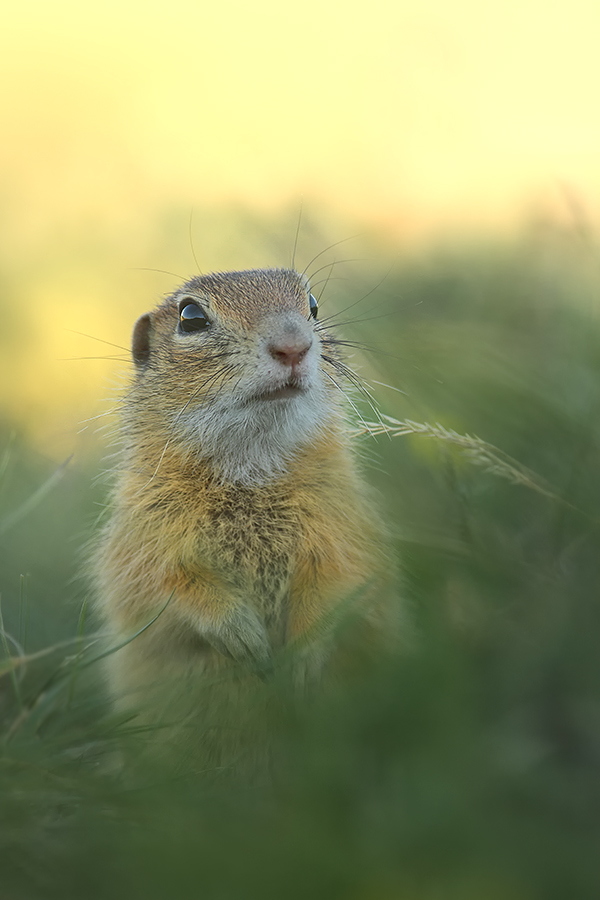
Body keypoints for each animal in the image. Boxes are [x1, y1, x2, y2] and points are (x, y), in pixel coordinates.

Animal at [94, 264, 398, 740]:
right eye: (190, 318)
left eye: (313, 305)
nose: (293, 346)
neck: (250, 470)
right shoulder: (140, 544)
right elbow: (163, 589)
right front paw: (246, 641)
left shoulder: (345, 527)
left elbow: (343, 582)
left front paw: (301, 662)